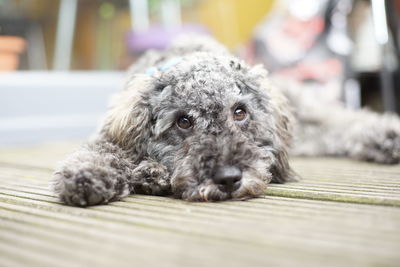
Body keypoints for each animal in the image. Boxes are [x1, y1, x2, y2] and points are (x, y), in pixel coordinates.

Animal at [54, 35, 400, 207]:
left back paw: (387, 135)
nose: (229, 178)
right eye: (183, 121)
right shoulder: (107, 135)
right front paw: (87, 174)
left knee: (338, 119)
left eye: (240, 112)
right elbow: (101, 151)